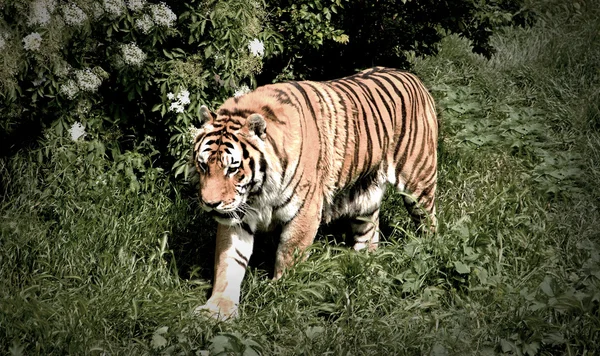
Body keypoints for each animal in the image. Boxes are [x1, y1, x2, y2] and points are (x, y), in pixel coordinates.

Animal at [195, 67, 438, 320]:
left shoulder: (305, 211)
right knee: (369, 232)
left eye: (232, 169)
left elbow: (289, 255)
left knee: (429, 221)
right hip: (365, 195)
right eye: (203, 165)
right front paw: (217, 309)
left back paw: (429, 251)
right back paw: (364, 264)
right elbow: (229, 262)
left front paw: (279, 294)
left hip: (419, 181)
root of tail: (412, 76)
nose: (210, 203)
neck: (259, 192)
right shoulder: (237, 218)